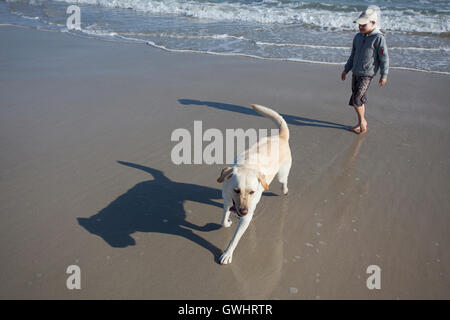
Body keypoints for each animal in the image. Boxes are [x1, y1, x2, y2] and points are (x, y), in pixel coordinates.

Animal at [217, 104, 292, 264]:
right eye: (236, 190)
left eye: (252, 192)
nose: (244, 211)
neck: (246, 165)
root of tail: (281, 137)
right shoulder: (227, 200)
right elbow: (222, 220)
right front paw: (227, 222)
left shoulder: (245, 215)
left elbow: (235, 239)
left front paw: (227, 254)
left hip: (282, 174)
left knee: (284, 181)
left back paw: (284, 190)